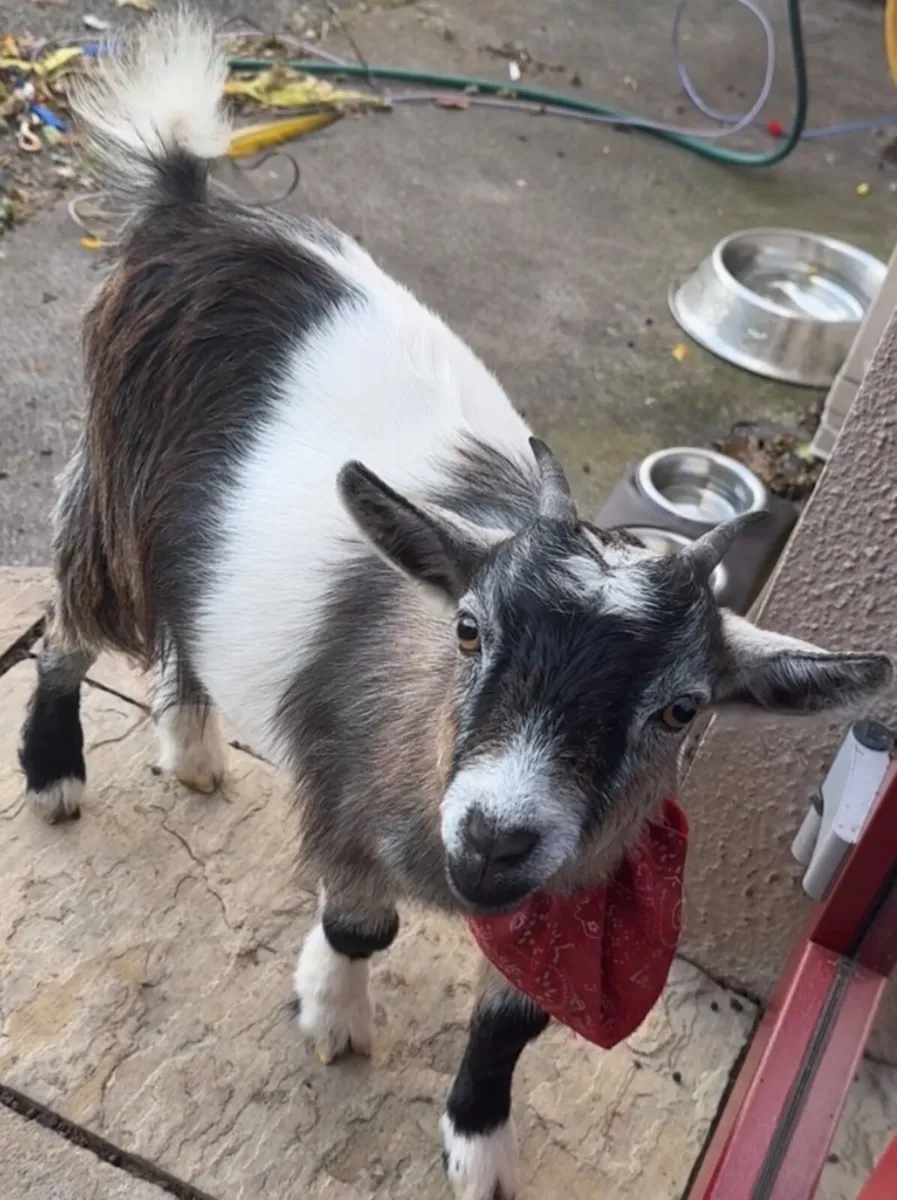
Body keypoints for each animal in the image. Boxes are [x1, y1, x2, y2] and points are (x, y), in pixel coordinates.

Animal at [18, 13, 891, 1199]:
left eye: (680, 710)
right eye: (470, 629)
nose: (490, 839)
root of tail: (193, 204)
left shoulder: (573, 888)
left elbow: (512, 1027)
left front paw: (479, 1145)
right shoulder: (348, 801)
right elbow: (359, 924)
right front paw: (331, 1016)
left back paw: (192, 748)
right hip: (114, 487)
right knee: (72, 624)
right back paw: (56, 770)